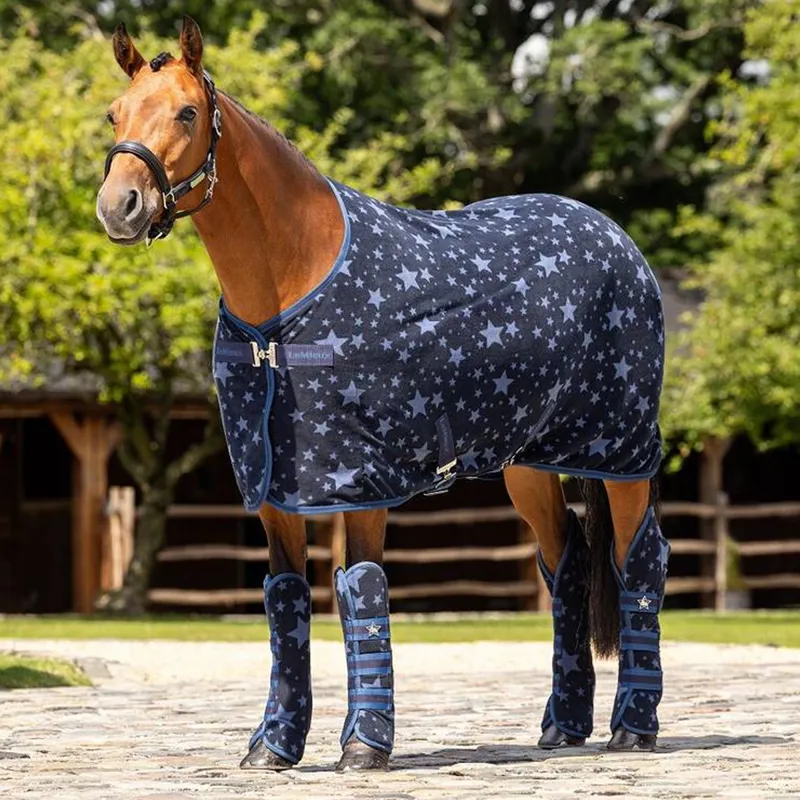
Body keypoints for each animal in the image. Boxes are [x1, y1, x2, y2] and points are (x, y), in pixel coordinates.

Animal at [97, 17, 669, 772]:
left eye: (187, 113)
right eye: (115, 114)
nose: (119, 208)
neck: (292, 290)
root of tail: (615, 238)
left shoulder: (359, 480)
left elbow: (360, 589)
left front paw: (364, 744)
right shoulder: (277, 484)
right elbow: (285, 601)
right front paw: (274, 746)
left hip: (619, 449)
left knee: (640, 559)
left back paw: (634, 726)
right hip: (529, 462)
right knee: (567, 565)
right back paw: (562, 727)